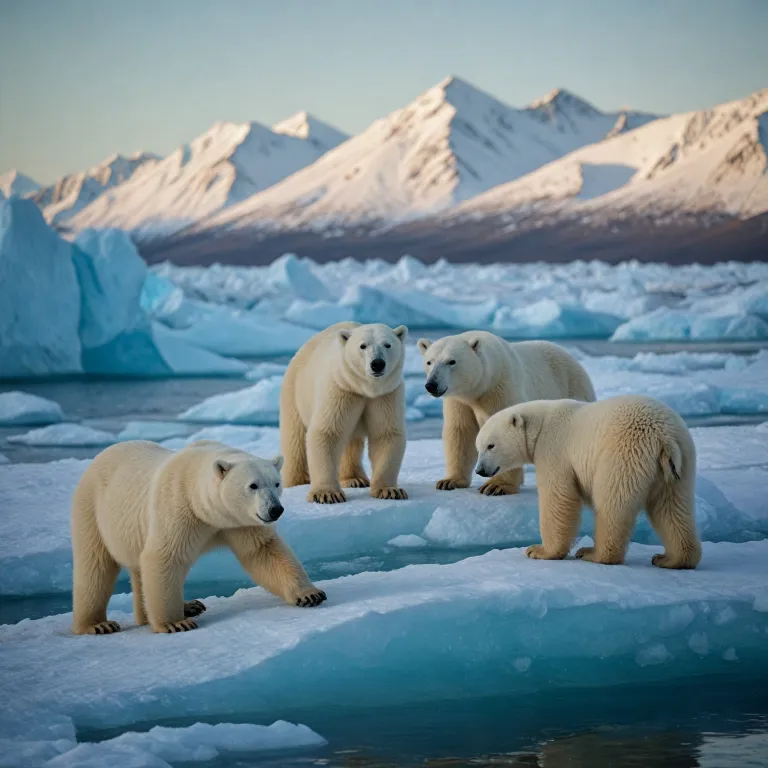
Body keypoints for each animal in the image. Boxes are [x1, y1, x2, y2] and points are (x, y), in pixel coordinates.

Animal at [70, 439, 326, 635]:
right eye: (253, 485)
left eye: (276, 483)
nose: (275, 510)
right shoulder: (178, 507)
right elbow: (165, 556)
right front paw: (175, 623)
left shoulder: (239, 522)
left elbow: (263, 551)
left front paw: (310, 594)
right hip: (92, 510)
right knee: (95, 566)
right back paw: (97, 625)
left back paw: (187, 606)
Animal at [280, 321, 409, 504]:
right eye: (363, 345)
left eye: (387, 344)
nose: (377, 363)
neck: (364, 389)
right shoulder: (341, 389)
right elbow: (328, 432)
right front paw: (326, 494)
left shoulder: (386, 395)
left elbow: (386, 434)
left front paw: (390, 491)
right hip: (296, 391)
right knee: (294, 438)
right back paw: (295, 481)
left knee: (352, 442)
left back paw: (355, 479)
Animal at [417, 332, 595, 496]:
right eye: (429, 362)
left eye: (451, 361)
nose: (431, 384)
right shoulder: (459, 401)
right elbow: (461, 432)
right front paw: (449, 481)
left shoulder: (501, 388)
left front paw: (496, 486)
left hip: (573, 387)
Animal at [474, 395, 702, 569]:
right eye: (478, 447)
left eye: (491, 445)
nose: (480, 470)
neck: (540, 424)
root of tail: (664, 437)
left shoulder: (553, 449)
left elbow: (558, 497)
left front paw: (539, 551)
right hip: (678, 466)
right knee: (672, 508)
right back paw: (671, 559)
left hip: (624, 452)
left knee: (612, 503)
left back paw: (594, 553)